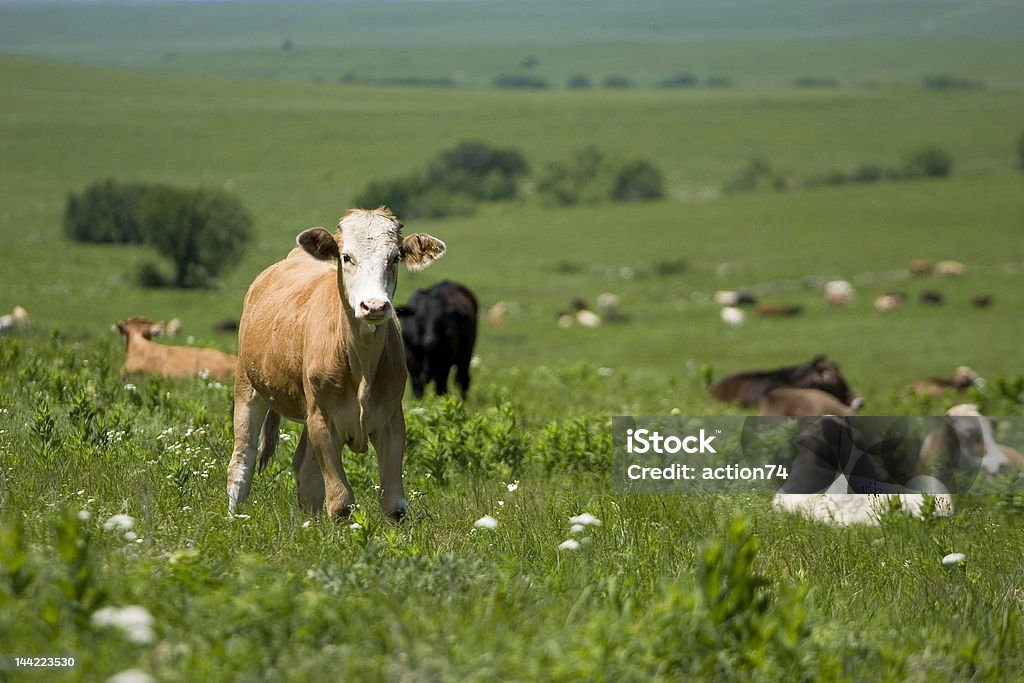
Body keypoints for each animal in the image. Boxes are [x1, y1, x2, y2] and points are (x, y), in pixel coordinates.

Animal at [226, 206, 442, 518]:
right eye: (346, 257)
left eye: (395, 257)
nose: (374, 306)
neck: (361, 363)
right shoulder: (323, 424)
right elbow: (340, 501)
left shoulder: (391, 422)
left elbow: (394, 505)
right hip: (248, 388)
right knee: (242, 461)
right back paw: (235, 517)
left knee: (305, 471)